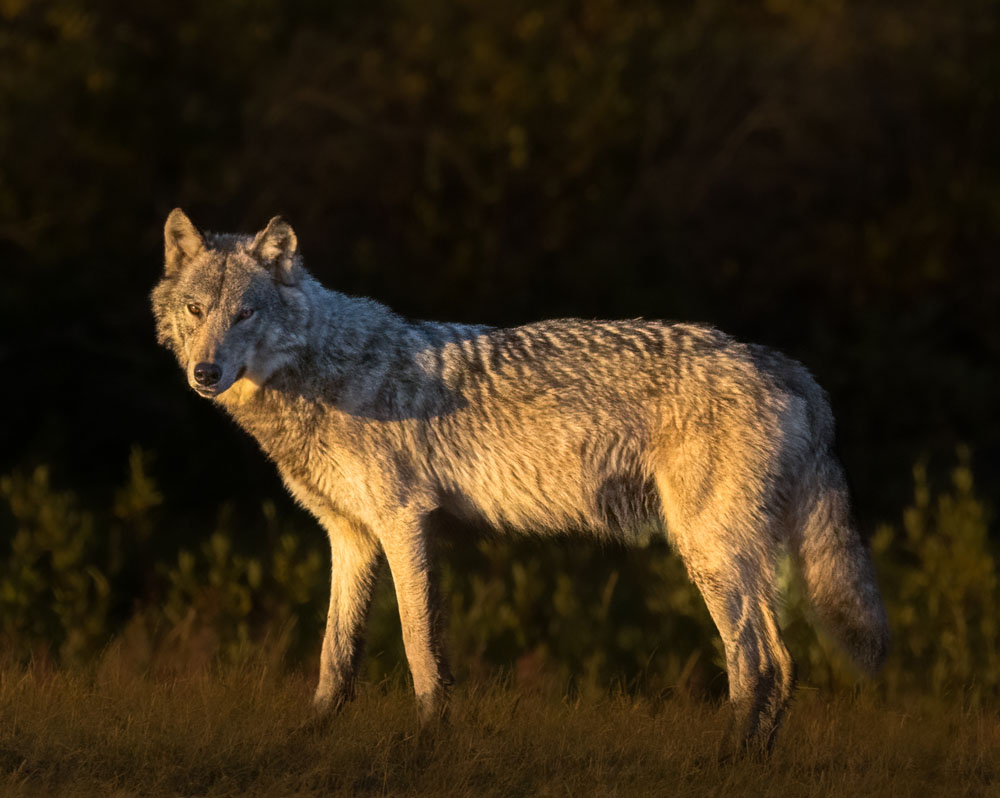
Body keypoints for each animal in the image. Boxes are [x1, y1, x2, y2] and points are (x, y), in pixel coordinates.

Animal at [151, 209, 889, 752]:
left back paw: (725, 763)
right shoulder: (350, 537)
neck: (321, 373)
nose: (205, 372)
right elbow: (337, 653)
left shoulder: (404, 522)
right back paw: (753, 762)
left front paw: (427, 743)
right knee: (780, 664)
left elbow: (420, 647)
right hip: (732, 557)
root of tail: (785, 365)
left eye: (244, 313)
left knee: (758, 663)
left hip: (709, 554)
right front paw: (310, 737)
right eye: (196, 312)